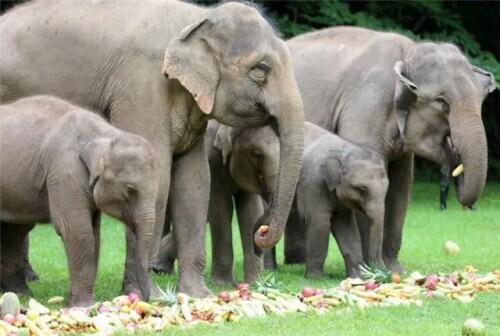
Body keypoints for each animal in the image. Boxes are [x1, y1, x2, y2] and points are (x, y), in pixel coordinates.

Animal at [0, 95, 159, 308]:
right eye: (130, 190)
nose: (144, 298)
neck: (105, 134)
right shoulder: (63, 170)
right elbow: (78, 231)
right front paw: (83, 305)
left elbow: (94, 234)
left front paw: (73, 302)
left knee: (13, 232)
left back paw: (21, 294)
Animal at [296, 123, 390, 278]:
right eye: (362, 189)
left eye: (387, 188)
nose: (384, 274)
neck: (343, 151)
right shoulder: (312, 183)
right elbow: (319, 221)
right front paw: (317, 278)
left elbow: (347, 226)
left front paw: (357, 276)